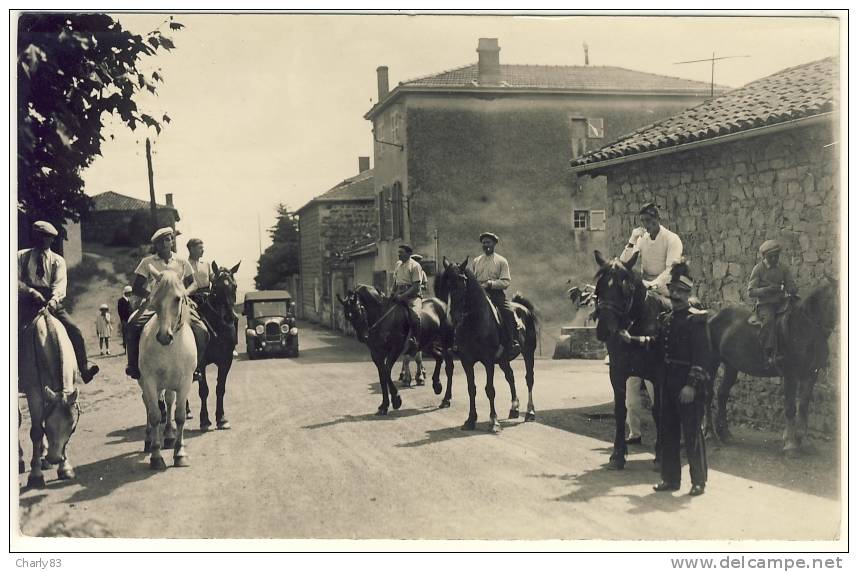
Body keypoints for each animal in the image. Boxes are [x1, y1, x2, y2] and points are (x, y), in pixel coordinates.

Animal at [139, 268, 196, 470]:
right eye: (154, 299)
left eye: (177, 299)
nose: (164, 336)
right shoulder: (149, 381)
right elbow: (155, 415)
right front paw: (156, 457)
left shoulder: (185, 381)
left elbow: (179, 416)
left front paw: (180, 453)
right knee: (148, 405)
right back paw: (149, 440)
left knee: (169, 401)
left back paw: (170, 436)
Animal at [195, 262, 241, 432]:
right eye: (215, 287)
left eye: (235, 286)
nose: (229, 317)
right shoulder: (201, 364)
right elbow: (204, 391)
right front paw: (204, 421)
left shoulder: (226, 361)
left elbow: (220, 388)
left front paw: (221, 418)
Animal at [434, 256, 536, 432]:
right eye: (445, 284)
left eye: (462, 280)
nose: (452, 317)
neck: (474, 322)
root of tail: (523, 308)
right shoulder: (467, 361)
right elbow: (471, 389)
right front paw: (470, 420)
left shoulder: (488, 360)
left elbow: (490, 389)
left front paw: (493, 421)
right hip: (503, 360)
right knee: (510, 376)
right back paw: (514, 408)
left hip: (528, 353)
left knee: (529, 379)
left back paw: (529, 412)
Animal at [704, 276, 836, 456]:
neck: (805, 328)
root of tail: (712, 316)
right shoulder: (790, 375)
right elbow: (790, 407)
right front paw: (790, 444)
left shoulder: (811, 374)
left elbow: (803, 406)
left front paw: (804, 441)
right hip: (712, 363)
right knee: (708, 394)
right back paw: (710, 434)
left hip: (731, 366)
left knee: (722, 393)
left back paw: (725, 434)